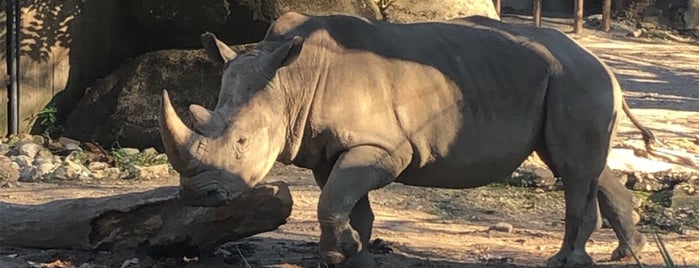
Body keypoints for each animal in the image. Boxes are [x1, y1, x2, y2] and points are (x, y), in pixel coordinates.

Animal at [159, 12, 652, 268]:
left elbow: (333, 201)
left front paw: (339, 255)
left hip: (574, 79)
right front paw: (354, 255)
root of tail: (602, 63)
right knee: (582, 165)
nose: (197, 196)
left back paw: (566, 262)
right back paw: (624, 253)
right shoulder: (330, 150)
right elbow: (347, 204)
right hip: (569, 81)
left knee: (572, 169)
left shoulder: (383, 149)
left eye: (241, 142)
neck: (290, 81)